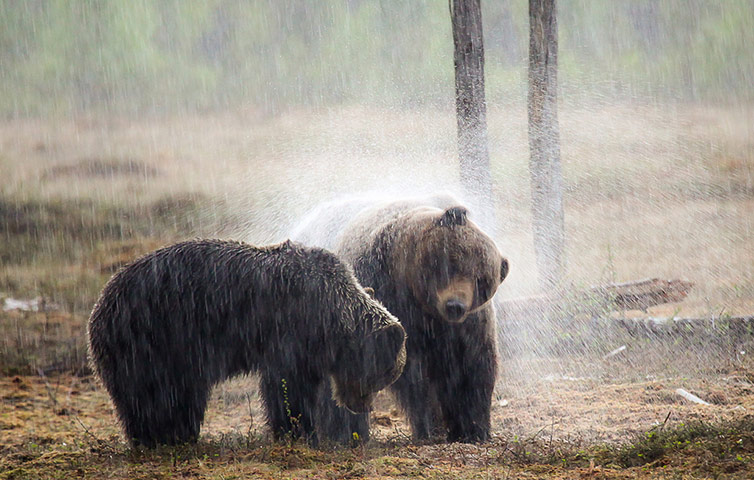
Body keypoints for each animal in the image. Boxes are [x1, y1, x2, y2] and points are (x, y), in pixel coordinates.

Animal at [88, 239, 406, 446]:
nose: (363, 407)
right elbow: (286, 388)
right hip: (152, 341)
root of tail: (99, 304)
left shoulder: (309, 349)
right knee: (156, 397)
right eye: (384, 376)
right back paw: (161, 437)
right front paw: (298, 430)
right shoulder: (287, 331)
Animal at [314, 202, 508, 442]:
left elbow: (473, 367)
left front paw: (473, 428)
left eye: (482, 280)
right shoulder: (390, 299)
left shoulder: (469, 325)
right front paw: (429, 425)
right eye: (452, 264)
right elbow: (412, 374)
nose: (455, 305)